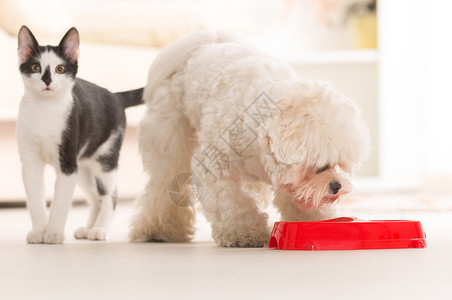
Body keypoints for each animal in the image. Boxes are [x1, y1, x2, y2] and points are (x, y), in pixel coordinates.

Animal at [17, 26, 143, 244]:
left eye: (60, 69)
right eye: (35, 67)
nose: (47, 80)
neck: (44, 110)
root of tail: (115, 96)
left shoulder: (67, 163)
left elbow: (61, 201)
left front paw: (54, 233)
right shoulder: (30, 162)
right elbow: (35, 198)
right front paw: (39, 231)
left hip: (104, 158)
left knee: (109, 196)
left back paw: (100, 229)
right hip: (83, 166)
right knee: (94, 197)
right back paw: (88, 228)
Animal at [129, 29, 370, 246]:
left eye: (339, 165)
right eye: (320, 166)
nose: (337, 186)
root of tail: (207, 44)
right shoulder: (213, 166)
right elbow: (232, 203)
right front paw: (244, 232)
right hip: (169, 138)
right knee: (163, 183)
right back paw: (158, 230)